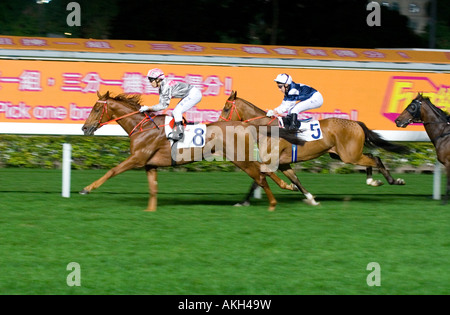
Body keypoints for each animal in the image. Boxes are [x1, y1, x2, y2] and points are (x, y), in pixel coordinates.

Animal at [80, 91, 306, 212]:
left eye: (97, 109)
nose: (84, 128)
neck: (143, 128)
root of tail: (244, 124)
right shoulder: (150, 164)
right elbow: (153, 188)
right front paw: (150, 209)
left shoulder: (137, 158)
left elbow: (112, 171)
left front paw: (87, 189)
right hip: (240, 157)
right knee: (264, 170)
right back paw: (288, 186)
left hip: (239, 158)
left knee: (260, 174)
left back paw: (274, 202)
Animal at [220, 91, 410, 205]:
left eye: (226, 108)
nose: (219, 124)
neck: (268, 129)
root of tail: (356, 123)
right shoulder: (283, 163)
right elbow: (296, 180)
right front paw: (311, 198)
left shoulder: (271, 161)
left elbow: (257, 179)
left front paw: (243, 202)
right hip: (342, 154)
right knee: (371, 157)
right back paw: (374, 181)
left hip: (349, 155)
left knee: (375, 159)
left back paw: (394, 181)